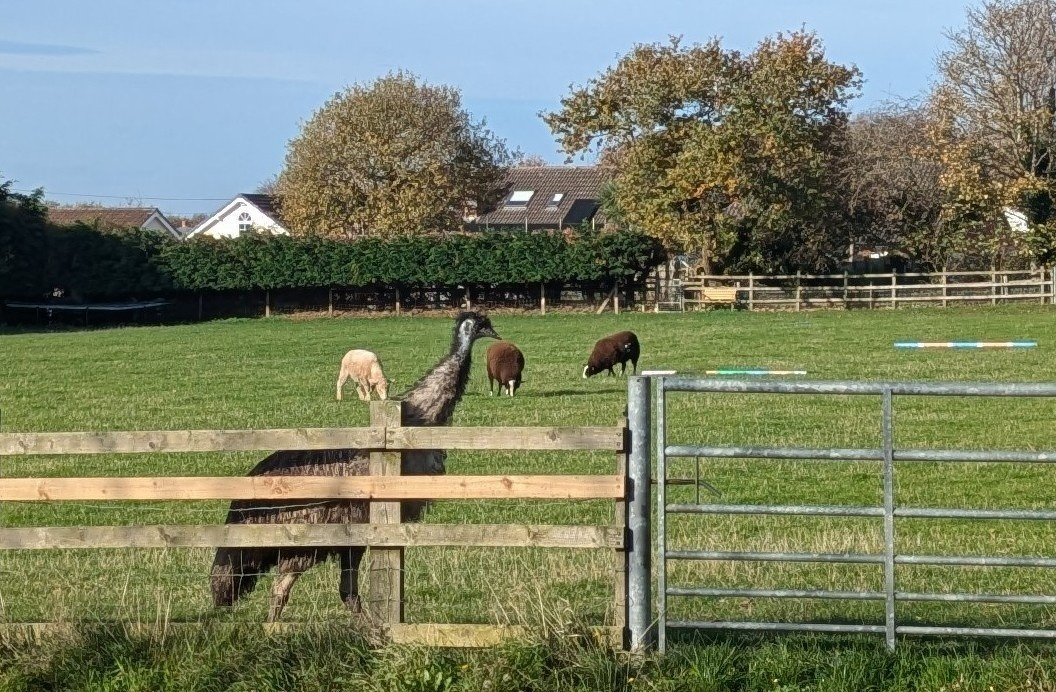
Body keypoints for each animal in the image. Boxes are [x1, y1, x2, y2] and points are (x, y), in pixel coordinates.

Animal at [210, 311, 501, 621]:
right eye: (483, 324)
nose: (497, 334)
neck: (419, 417)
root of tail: (240, 510)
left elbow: (348, 591)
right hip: (303, 540)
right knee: (281, 588)